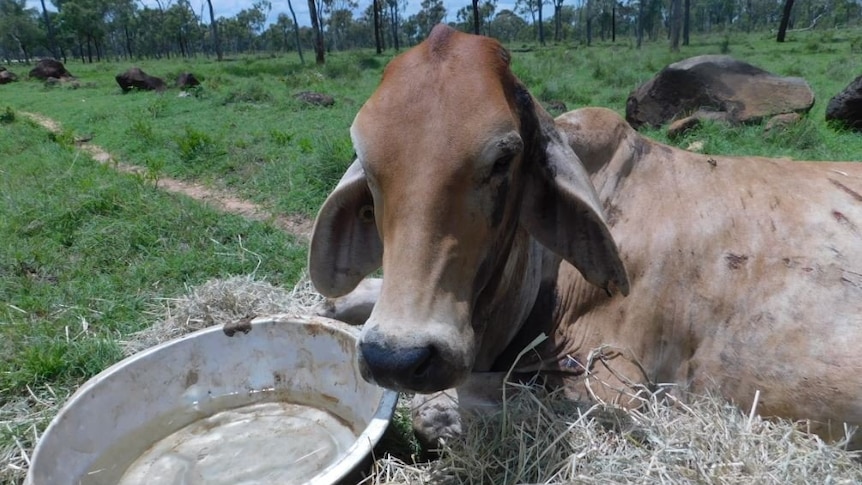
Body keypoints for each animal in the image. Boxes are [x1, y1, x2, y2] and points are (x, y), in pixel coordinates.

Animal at [310, 22, 862, 446]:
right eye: (367, 163)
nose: (398, 358)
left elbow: (437, 408)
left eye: (503, 159)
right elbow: (339, 303)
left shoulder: (617, 382)